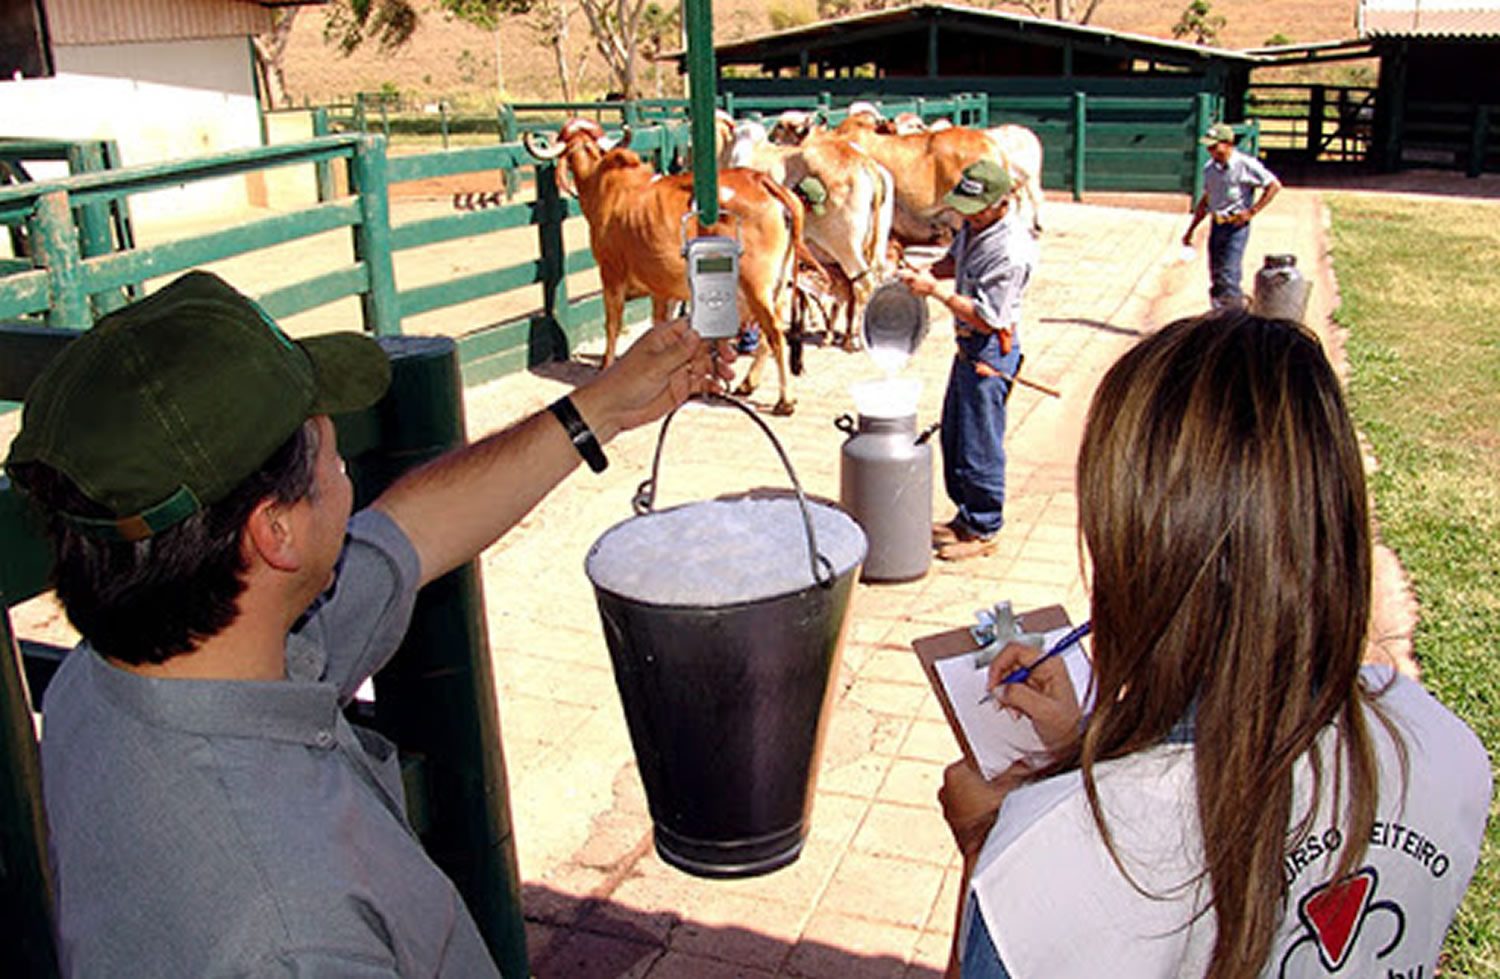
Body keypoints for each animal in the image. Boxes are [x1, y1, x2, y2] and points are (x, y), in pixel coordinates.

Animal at [522, 119, 816, 413]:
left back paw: (785, 400)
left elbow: (613, 323)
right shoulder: (664, 290)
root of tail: (760, 180)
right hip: (778, 284)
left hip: (756, 284)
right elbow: (663, 326)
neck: (606, 185)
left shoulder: (611, 272)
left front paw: (606, 366)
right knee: (770, 334)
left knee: (775, 333)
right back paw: (748, 384)